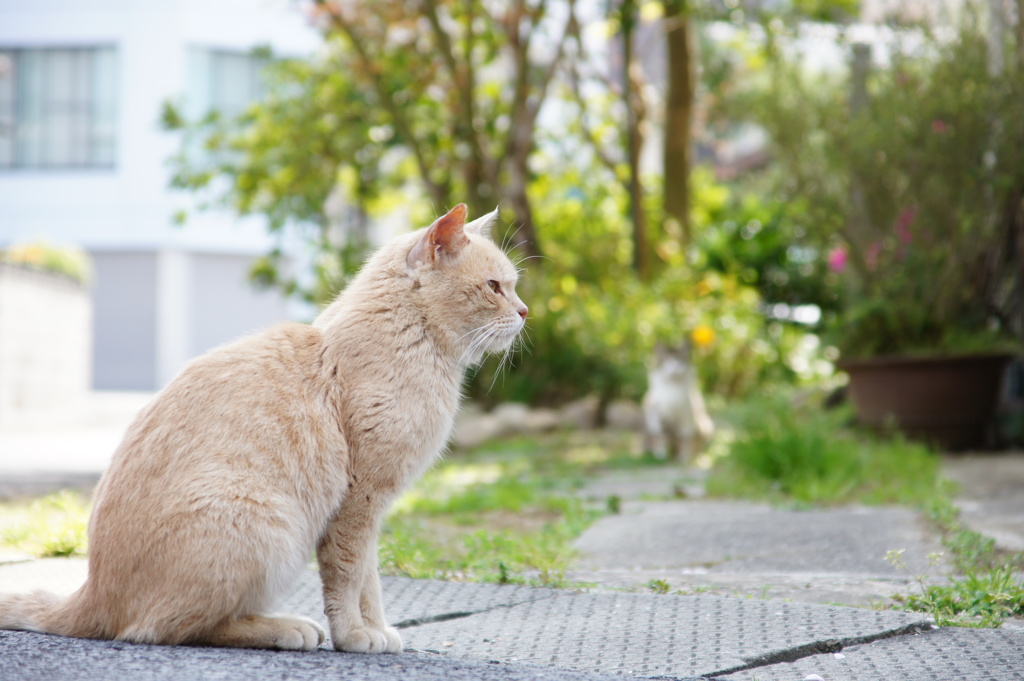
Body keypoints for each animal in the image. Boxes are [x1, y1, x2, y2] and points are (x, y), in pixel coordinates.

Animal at [0, 202, 528, 655]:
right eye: (495, 286)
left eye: (512, 287)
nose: (525, 312)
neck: (415, 344)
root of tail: (92, 592)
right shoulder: (359, 501)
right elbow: (349, 576)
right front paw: (355, 635)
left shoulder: (372, 508)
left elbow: (370, 580)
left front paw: (375, 628)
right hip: (266, 524)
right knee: (163, 629)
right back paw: (286, 628)